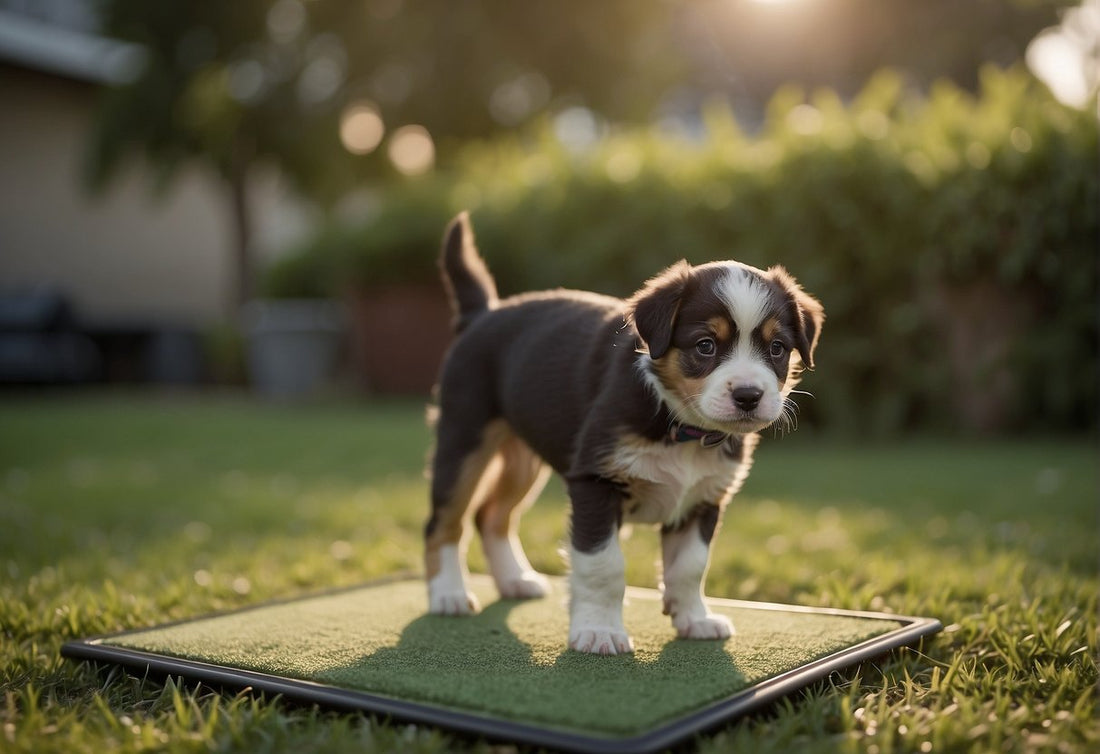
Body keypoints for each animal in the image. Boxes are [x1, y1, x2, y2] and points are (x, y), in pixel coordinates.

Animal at [424, 211, 822, 651]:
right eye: (705, 345)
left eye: (777, 349)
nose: (749, 395)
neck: (681, 428)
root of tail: (483, 314)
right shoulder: (596, 481)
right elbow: (604, 565)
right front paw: (600, 631)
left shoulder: (704, 496)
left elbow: (690, 566)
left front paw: (695, 619)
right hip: (464, 440)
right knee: (445, 522)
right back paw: (449, 594)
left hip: (522, 461)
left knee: (491, 514)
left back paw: (515, 580)